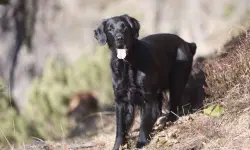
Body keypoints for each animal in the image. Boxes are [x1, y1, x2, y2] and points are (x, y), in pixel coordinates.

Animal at [94, 14, 197, 150]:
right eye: (110, 29)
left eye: (124, 27)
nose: (119, 38)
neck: (127, 64)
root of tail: (185, 43)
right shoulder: (121, 100)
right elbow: (120, 128)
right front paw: (118, 146)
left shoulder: (146, 97)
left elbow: (144, 122)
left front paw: (141, 142)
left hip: (177, 82)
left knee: (173, 106)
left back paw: (167, 122)